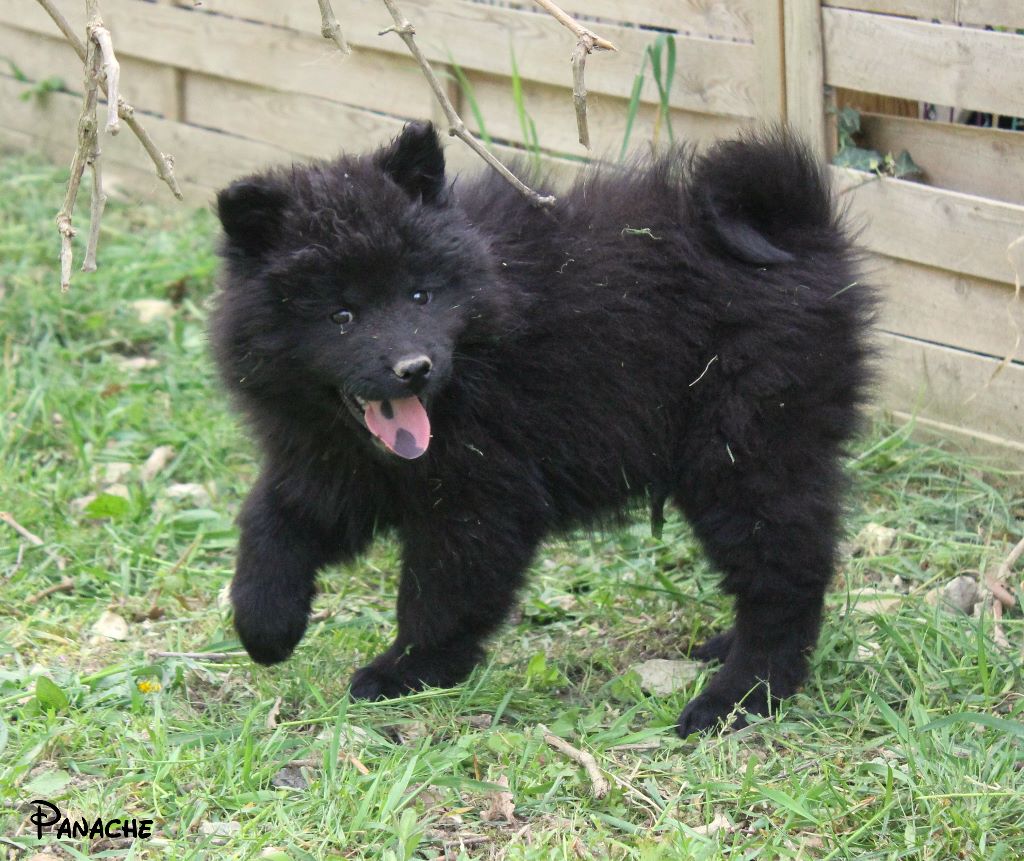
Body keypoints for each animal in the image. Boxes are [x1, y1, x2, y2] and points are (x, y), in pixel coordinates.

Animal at [209, 124, 872, 737]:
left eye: (420, 295)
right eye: (341, 316)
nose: (413, 368)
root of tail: (797, 232)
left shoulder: (478, 499)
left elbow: (438, 599)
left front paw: (404, 672)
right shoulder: (327, 465)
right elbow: (271, 521)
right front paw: (265, 626)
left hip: (744, 448)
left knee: (783, 575)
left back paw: (740, 696)